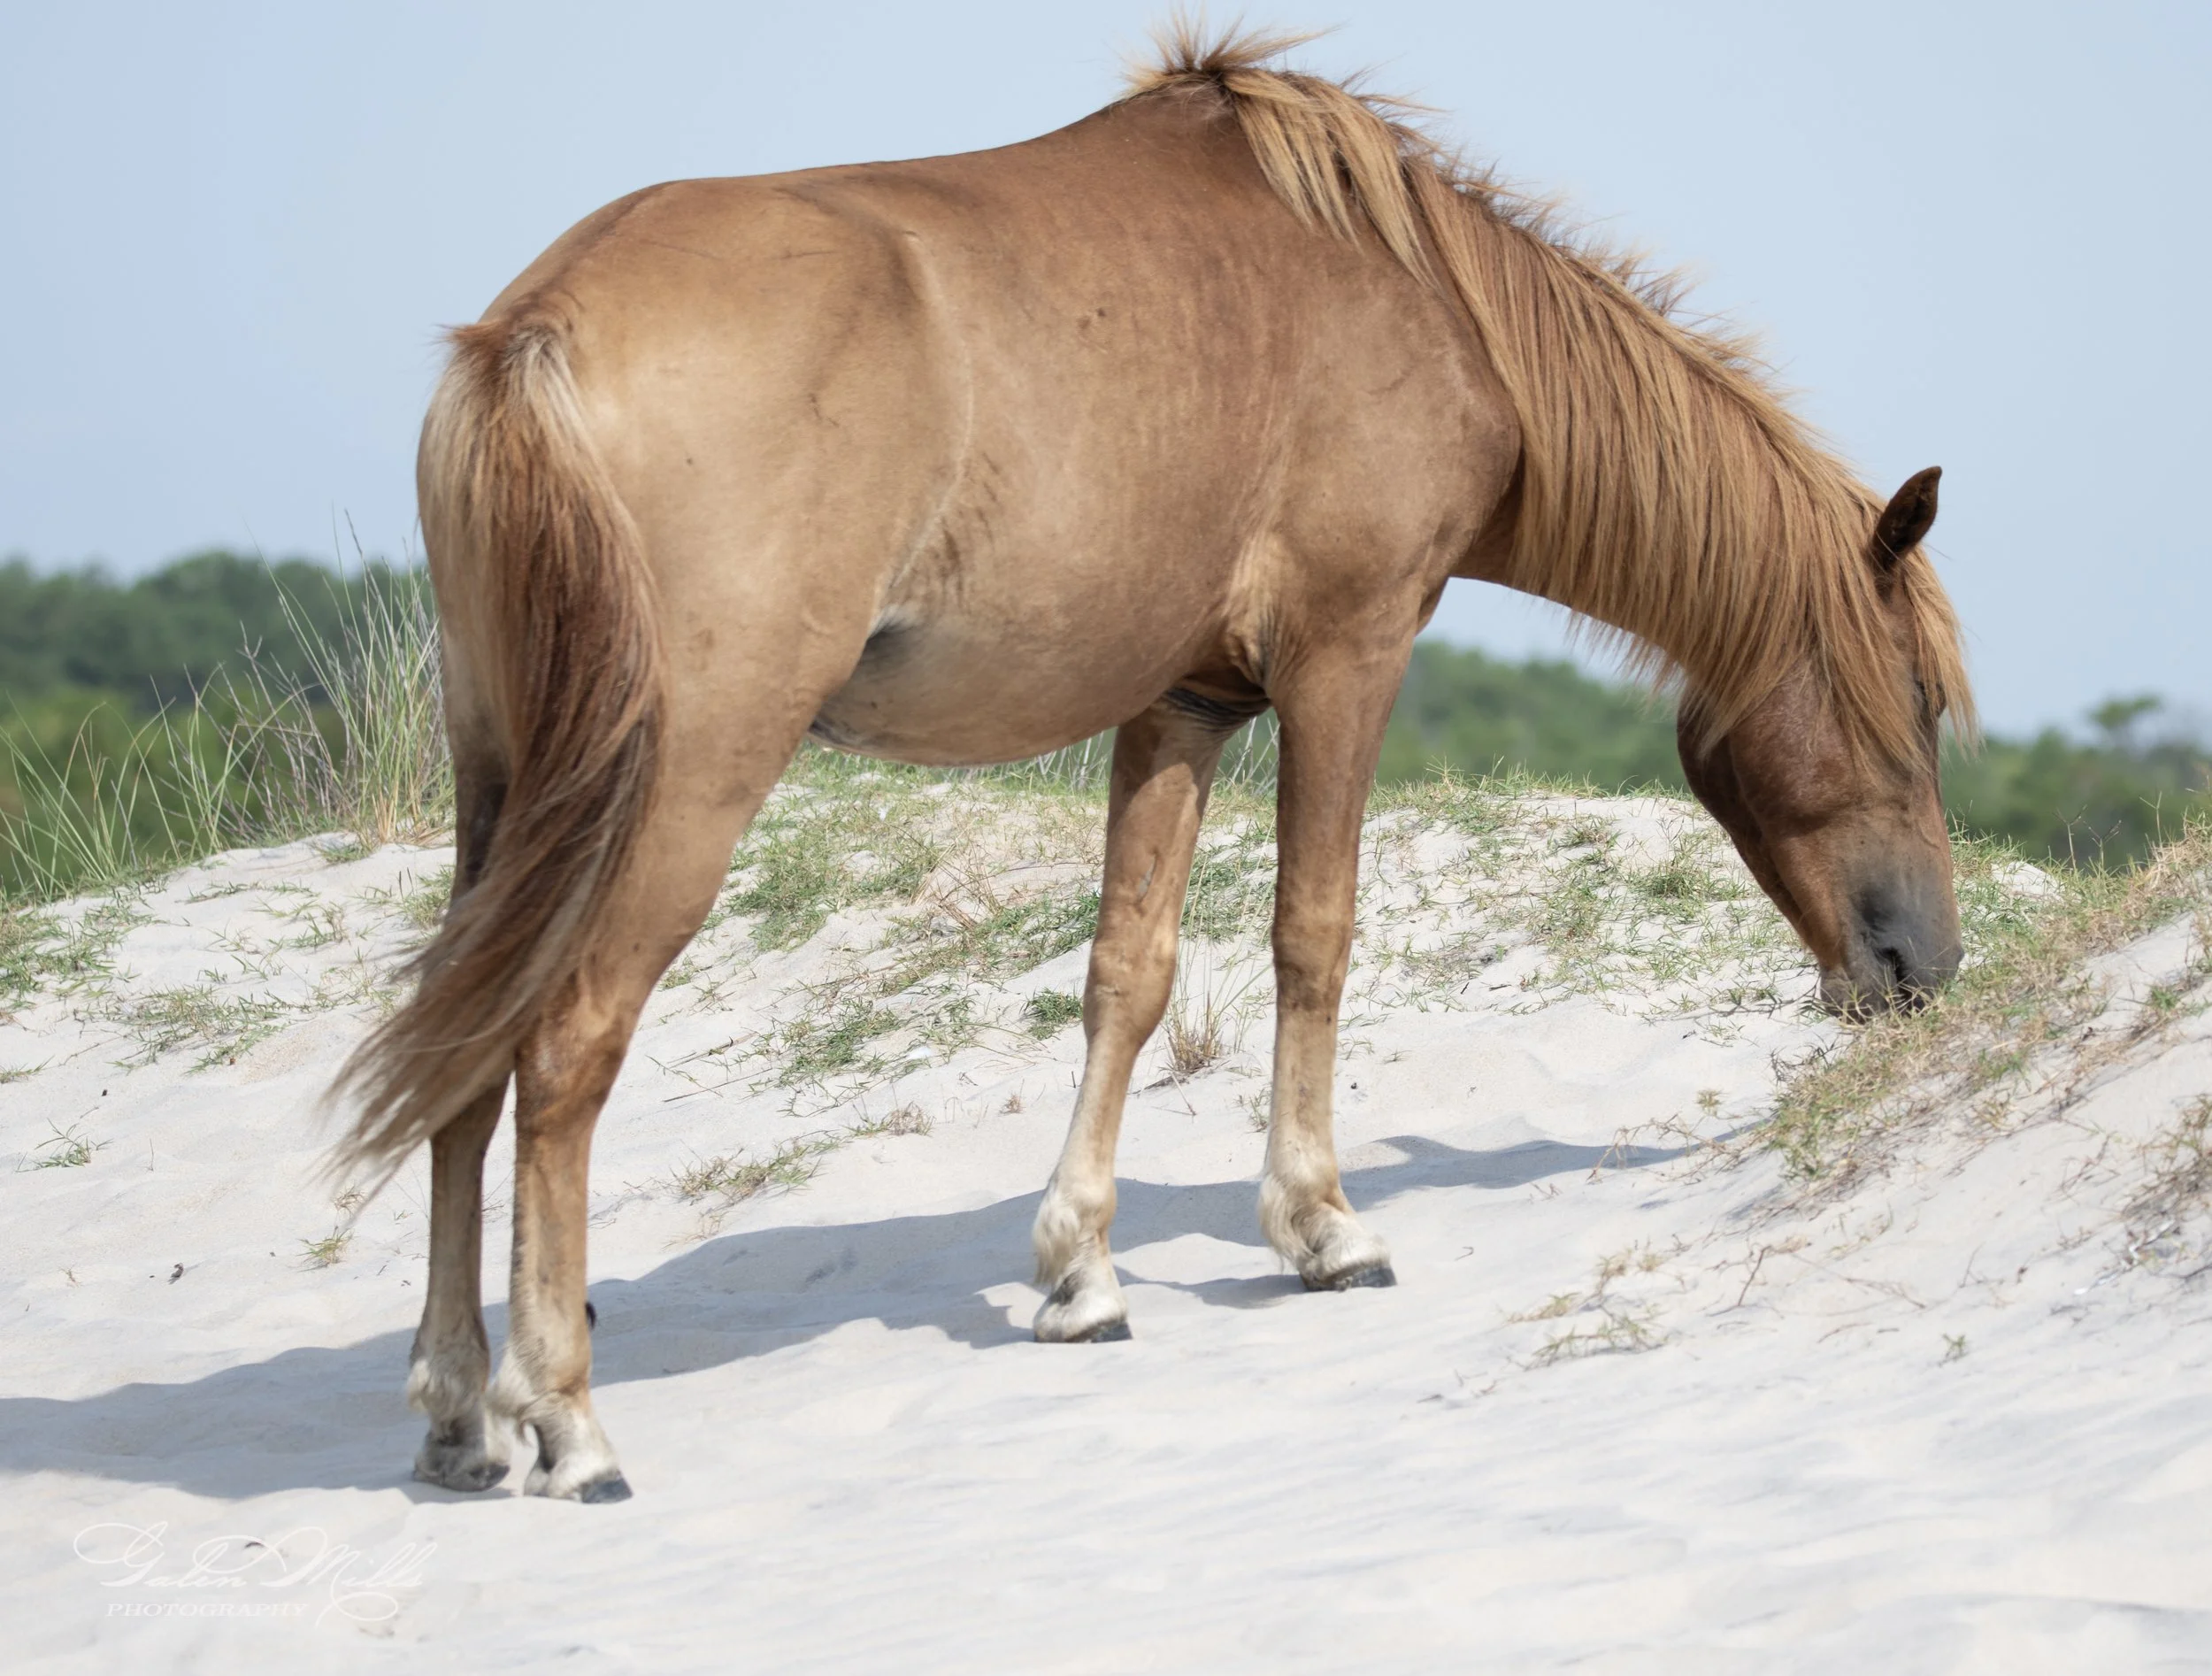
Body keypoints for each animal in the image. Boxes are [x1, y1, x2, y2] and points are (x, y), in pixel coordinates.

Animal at [335, 26, 1973, 1502]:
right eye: (1912, 701)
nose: (1927, 964)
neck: (1423, 297)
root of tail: (533, 333)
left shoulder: (1184, 700)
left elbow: (1128, 968)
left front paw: (1082, 1273)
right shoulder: (1346, 656)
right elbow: (1315, 931)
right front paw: (1322, 1225)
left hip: (512, 793)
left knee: (465, 1054)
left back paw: (457, 1413)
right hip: (681, 789)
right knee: (561, 1050)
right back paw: (565, 1419)